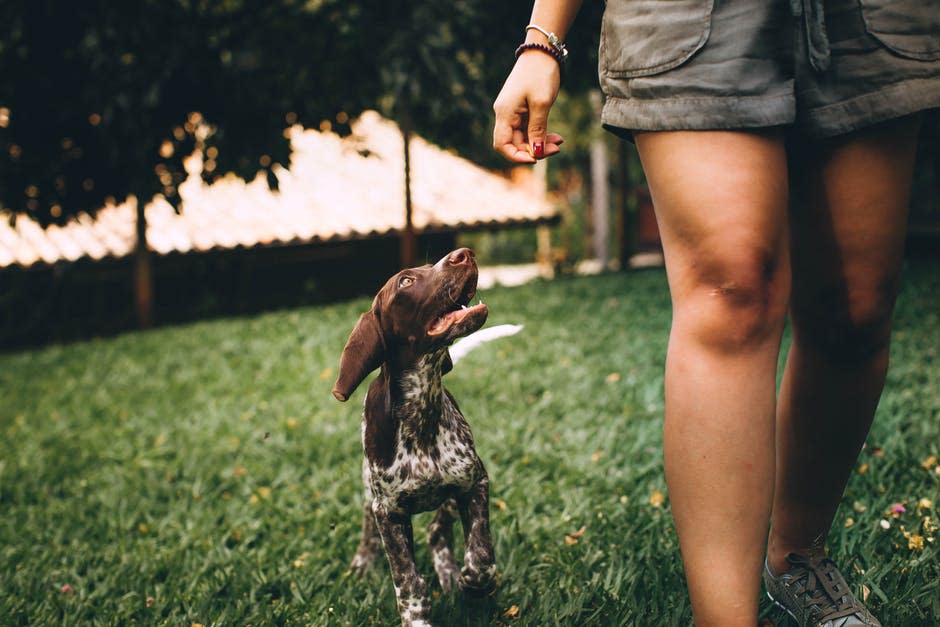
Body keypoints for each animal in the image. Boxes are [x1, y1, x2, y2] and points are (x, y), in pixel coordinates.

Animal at [338, 248, 500, 624]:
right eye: (406, 281)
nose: (463, 254)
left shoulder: (474, 482)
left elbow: (481, 554)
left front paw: (472, 582)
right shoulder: (388, 513)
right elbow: (408, 582)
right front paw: (416, 616)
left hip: (449, 498)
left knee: (437, 533)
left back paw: (450, 573)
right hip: (369, 491)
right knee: (369, 526)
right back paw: (363, 561)